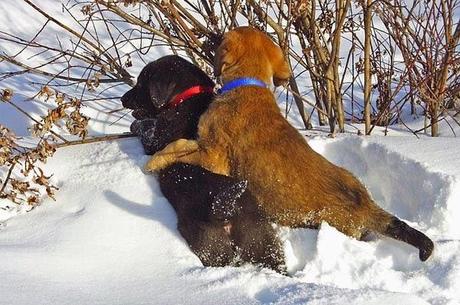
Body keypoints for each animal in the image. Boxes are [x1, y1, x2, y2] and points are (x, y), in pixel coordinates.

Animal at [120, 55, 286, 274]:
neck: (187, 95)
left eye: (141, 84)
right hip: (263, 242)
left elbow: (145, 128)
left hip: (210, 245)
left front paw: (134, 125)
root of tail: (226, 209)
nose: (122, 99)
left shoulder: (155, 140)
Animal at [145, 26, 434, 260]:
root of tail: (366, 206)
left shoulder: (214, 155)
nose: (211, 36)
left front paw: (153, 162)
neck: (249, 85)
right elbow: (181, 144)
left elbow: (178, 150)